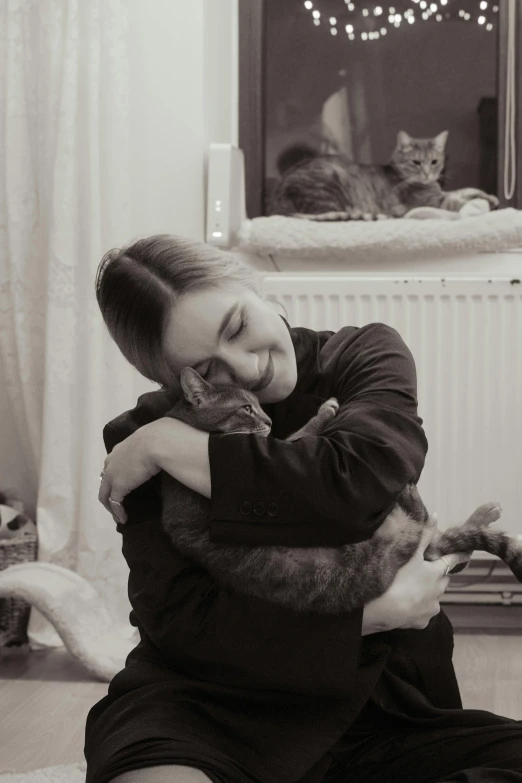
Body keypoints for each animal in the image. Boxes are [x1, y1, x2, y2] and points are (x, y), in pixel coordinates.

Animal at [158, 370, 516, 620]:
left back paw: (485, 513)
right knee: (428, 524)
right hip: (389, 546)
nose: (269, 420)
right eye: (247, 408)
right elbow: (299, 434)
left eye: (259, 405)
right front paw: (324, 411)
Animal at [266, 132, 498, 222]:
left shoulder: (444, 192)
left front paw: (491, 198)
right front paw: (479, 204)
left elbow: (467, 190)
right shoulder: (434, 201)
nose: (426, 174)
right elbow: (459, 200)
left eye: (434, 162)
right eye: (416, 162)